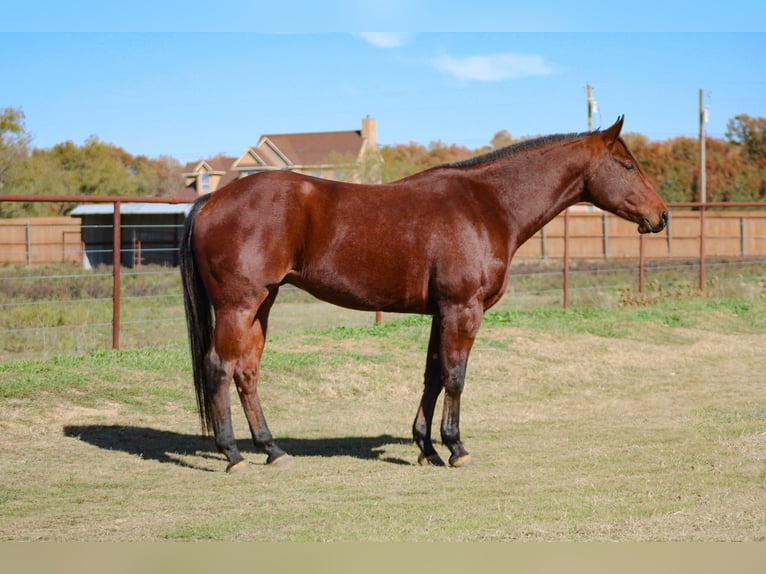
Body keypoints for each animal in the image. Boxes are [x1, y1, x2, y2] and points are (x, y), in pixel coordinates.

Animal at [178, 116, 664, 472]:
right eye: (627, 166)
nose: (661, 215)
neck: (486, 204)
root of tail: (212, 200)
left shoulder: (440, 313)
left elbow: (432, 374)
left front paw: (426, 448)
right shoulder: (463, 309)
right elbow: (455, 375)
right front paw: (456, 448)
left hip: (262, 304)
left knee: (247, 372)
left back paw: (272, 449)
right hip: (238, 305)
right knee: (219, 367)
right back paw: (233, 455)